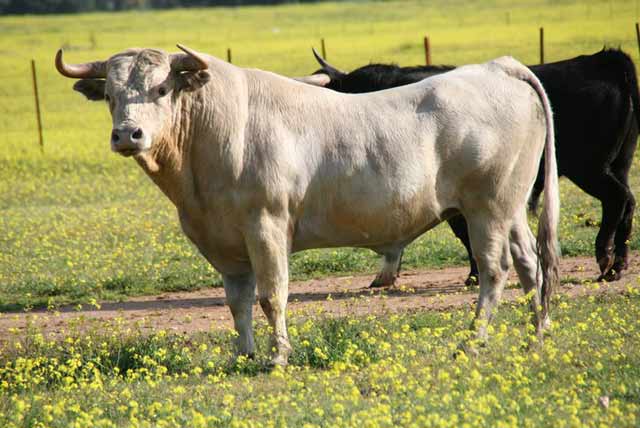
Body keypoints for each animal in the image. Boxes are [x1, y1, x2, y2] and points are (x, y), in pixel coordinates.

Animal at [56, 44, 560, 364]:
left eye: (161, 89)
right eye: (110, 95)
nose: (128, 135)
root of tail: (498, 67)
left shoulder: (266, 226)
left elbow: (271, 295)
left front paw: (278, 356)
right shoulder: (223, 242)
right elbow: (237, 302)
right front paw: (245, 356)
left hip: (486, 209)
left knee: (495, 269)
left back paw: (473, 342)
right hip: (512, 208)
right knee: (530, 265)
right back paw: (537, 336)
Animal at [302, 48, 636, 284]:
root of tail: (606, 59)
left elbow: (464, 233)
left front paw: (474, 273)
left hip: (591, 169)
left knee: (617, 200)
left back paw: (604, 257)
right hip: (616, 166)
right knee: (628, 202)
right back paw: (617, 265)